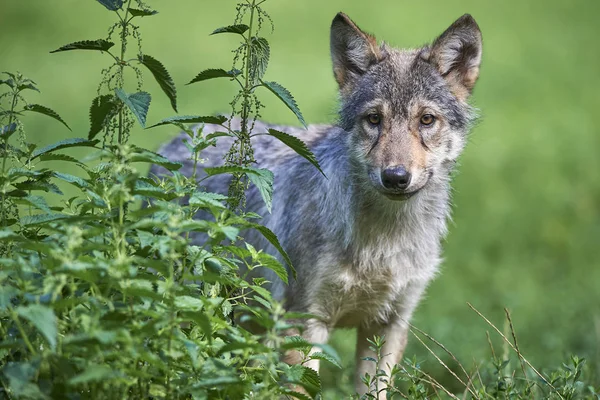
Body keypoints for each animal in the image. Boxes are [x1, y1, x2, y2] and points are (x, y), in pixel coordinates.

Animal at [152, 11, 480, 396]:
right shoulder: (306, 322)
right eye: (374, 119)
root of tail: (178, 139)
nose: (395, 177)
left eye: (426, 120)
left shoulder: (388, 326)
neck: (382, 243)